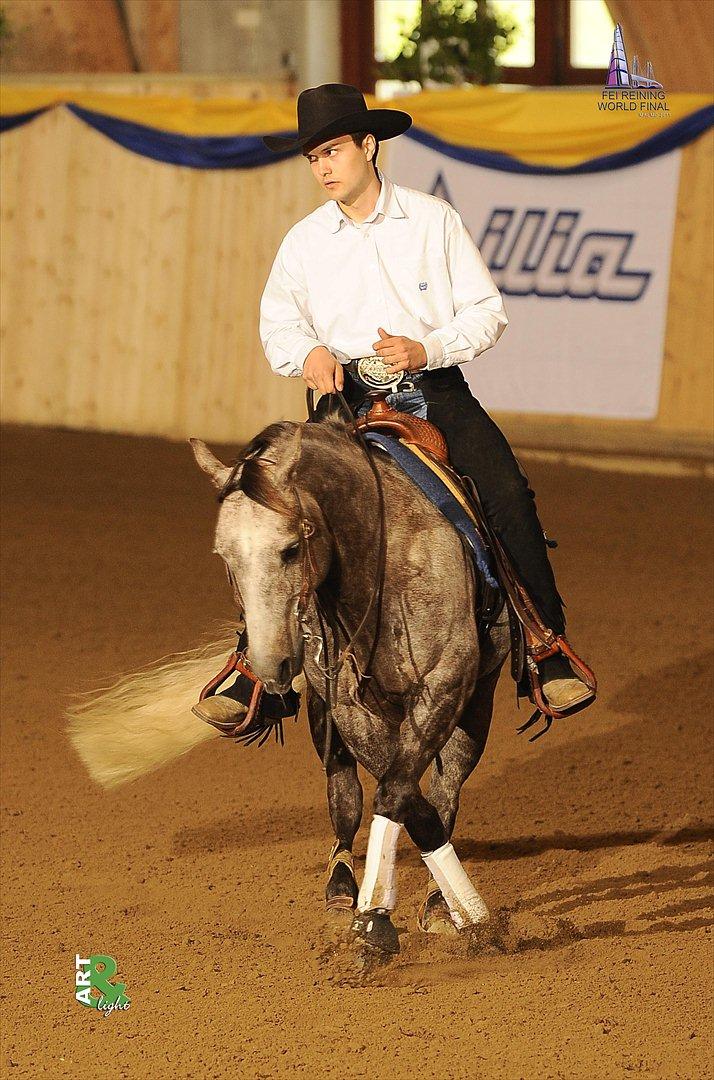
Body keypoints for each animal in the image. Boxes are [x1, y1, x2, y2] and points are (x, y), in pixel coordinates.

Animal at [189, 416, 512, 959]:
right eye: (225, 556)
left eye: (290, 548)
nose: (271, 665)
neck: (381, 564)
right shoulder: (347, 706)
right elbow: (392, 792)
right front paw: (375, 910)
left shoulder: (449, 685)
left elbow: (406, 792)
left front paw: (442, 913)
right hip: (325, 716)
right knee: (345, 796)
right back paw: (342, 887)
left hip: (475, 705)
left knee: (445, 787)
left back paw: (439, 902)